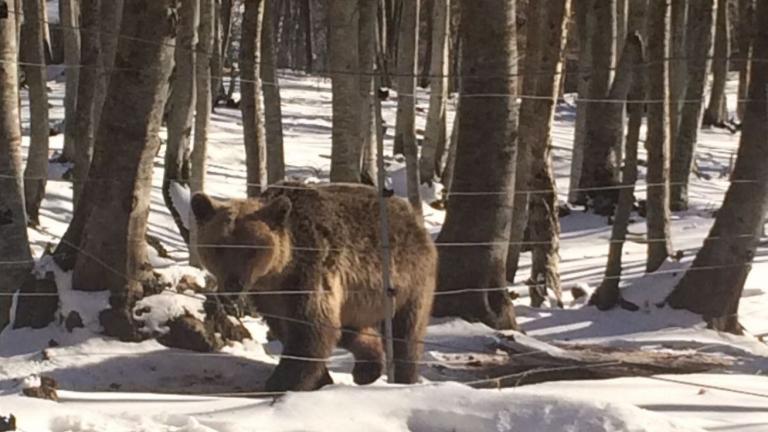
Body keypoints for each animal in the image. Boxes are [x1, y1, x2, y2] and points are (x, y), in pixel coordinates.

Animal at [190, 182, 436, 392]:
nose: (234, 284)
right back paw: (367, 369)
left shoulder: (309, 275)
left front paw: (281, 383)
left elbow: (311, 328)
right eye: (219, 247)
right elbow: (289, 328)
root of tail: (410, 213)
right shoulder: (269, 295)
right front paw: (320, 379)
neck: (280, 271)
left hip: (409, 281)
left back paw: (403, 378)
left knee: (407, 332)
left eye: (252, 249)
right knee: (350, 329)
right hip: (359, 298)